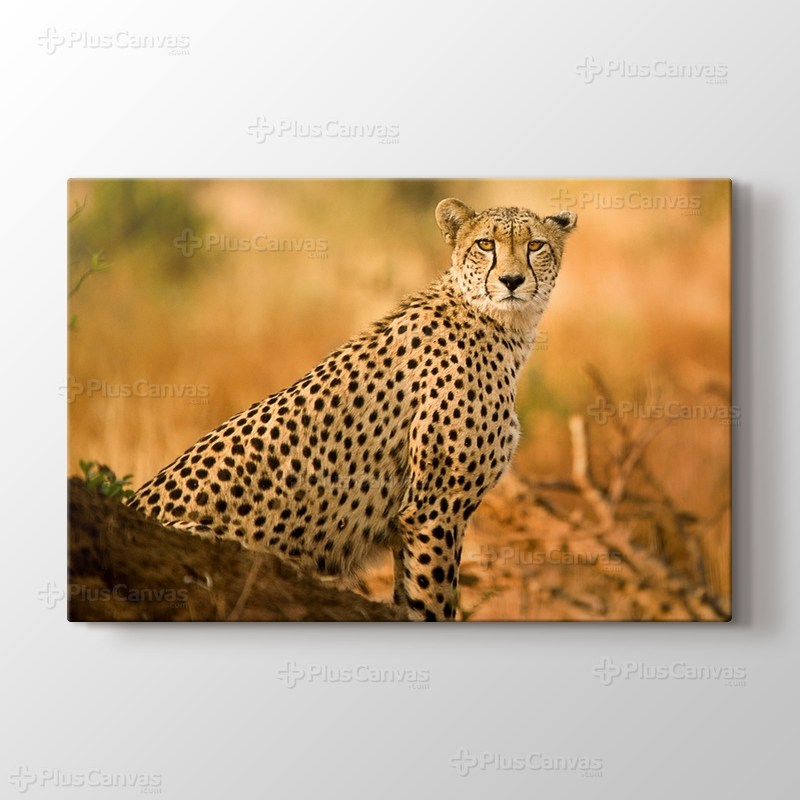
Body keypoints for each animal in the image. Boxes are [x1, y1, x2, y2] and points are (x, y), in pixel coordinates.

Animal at [128, 198, 577, 620]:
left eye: (535, 245)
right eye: (486, 244)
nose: (512, 280)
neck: (497, 322)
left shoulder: (414, 518)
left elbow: (409, 596)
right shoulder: (433, 510)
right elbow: (432, 600)